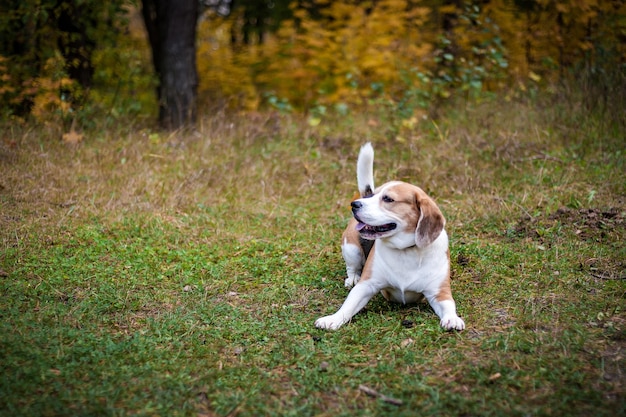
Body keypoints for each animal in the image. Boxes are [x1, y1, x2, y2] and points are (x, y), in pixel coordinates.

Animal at [316, 143, 464, 332]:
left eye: (387, 199)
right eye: (375, 196)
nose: (354, 205)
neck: (406, 250)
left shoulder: (439, 292)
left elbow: (449, 305)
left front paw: (452, 319)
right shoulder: (366, 285)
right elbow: (348, 305)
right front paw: (332, 319)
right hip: (351, 249)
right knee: (352, 268)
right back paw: (353, 278)